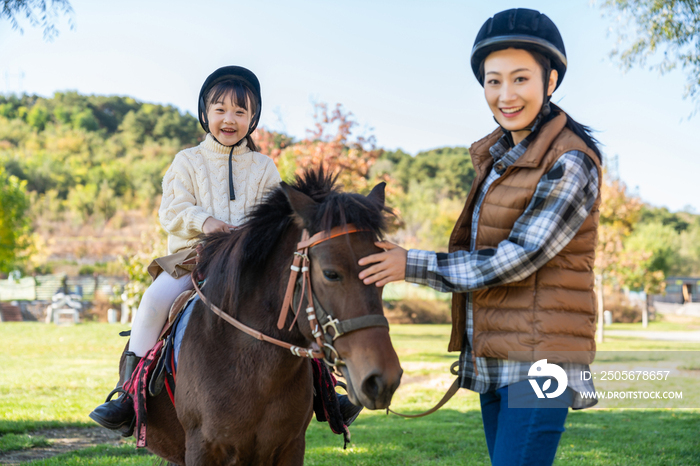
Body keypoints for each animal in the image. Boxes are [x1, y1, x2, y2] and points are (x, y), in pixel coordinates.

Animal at [133, 169, 402, 464]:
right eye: (331, 273)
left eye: (382, 272)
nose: (382, 379)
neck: (256, 372)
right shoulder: (200, 448)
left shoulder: (291, 446)